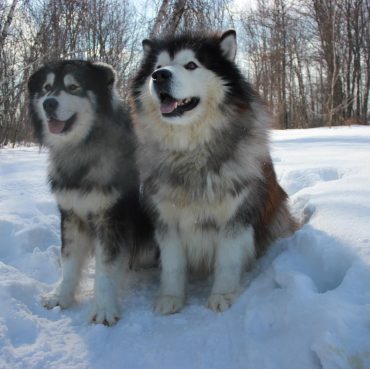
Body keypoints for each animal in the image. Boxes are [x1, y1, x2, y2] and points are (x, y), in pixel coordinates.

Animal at [28, 59, 154, 324]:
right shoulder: (71, 214)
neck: (81, 149)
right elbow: (69, 261)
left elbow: (106, 267)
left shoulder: (111, 218)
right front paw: (61, 296)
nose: (48, 103)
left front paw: (104, 308)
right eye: (46, 88)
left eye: (73, 87)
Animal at [130, 30, 298, 314]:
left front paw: (222, 295)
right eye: (156, 67)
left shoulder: (235, 215)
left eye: (191, 65)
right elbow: (173, 265)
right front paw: (171, 298)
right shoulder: (165, 218)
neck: (191, 152)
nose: (160, 76)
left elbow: (227, 261)